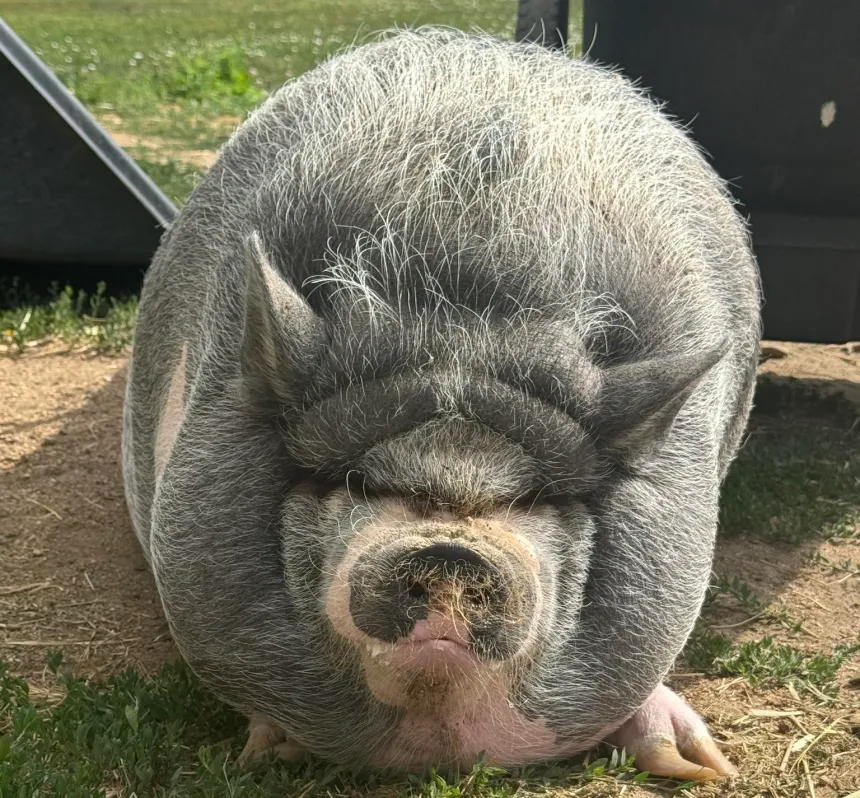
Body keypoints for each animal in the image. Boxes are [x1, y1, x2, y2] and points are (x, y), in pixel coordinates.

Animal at [122, 28, 761, 780]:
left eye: (535, 500)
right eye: (357, 483)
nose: (453, 555)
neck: (464, 325)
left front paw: (706, 769)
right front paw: (264, 750)